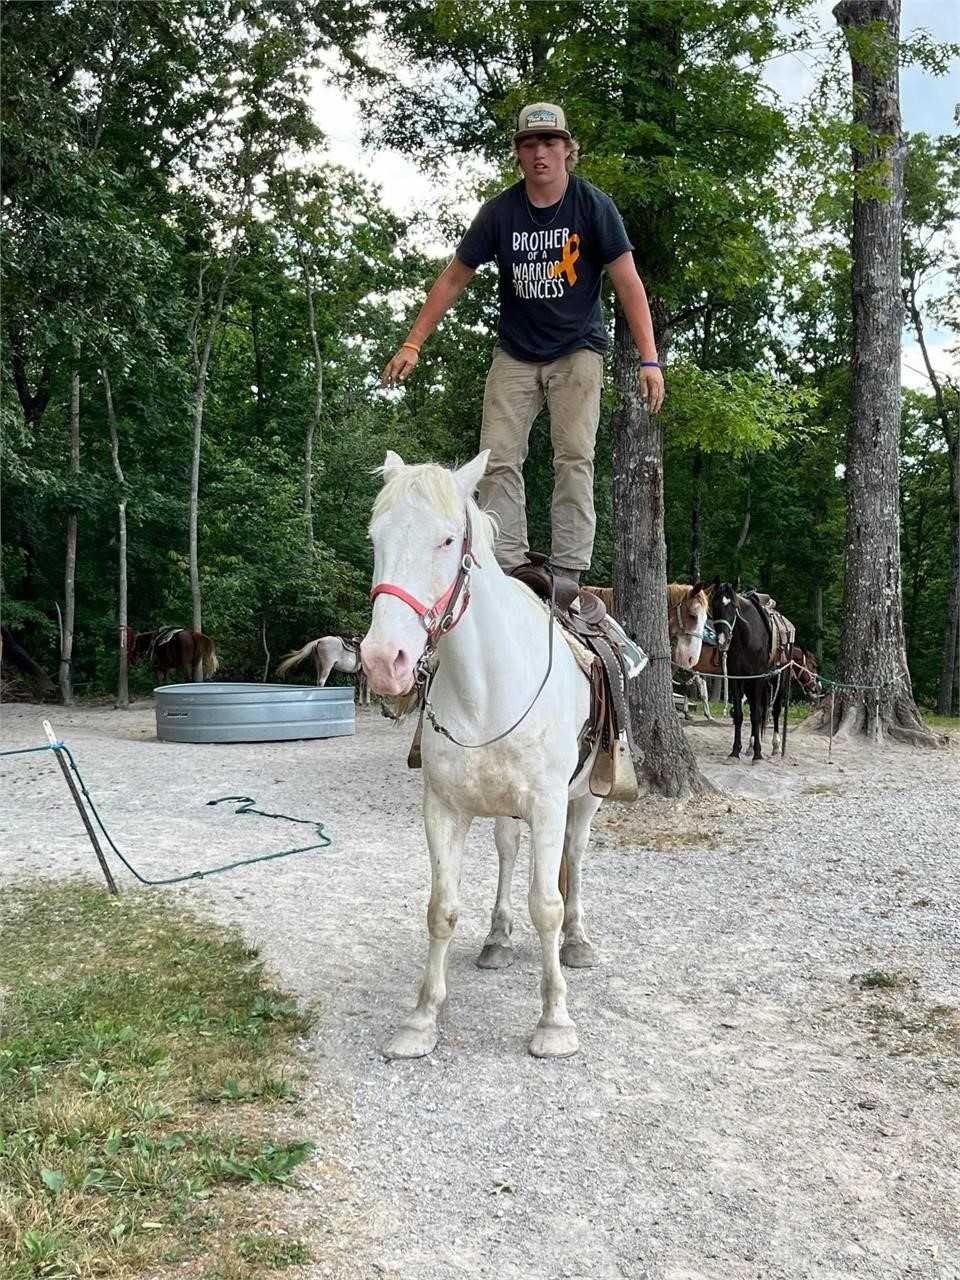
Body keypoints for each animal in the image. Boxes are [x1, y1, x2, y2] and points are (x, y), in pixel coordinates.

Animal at [363, 450, 604, 1059]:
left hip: (587, 799)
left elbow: (547, 905)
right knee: (508, 853)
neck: (488, 689)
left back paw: (578, 940)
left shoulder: (548, 803)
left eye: (448, 540)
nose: (384, 660)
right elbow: (441, 909)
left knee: (574, 859)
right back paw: (497, 939)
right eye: (376, 537)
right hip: (502, 811)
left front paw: (554, 1021)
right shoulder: (444, 809)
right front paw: (422, 1018)